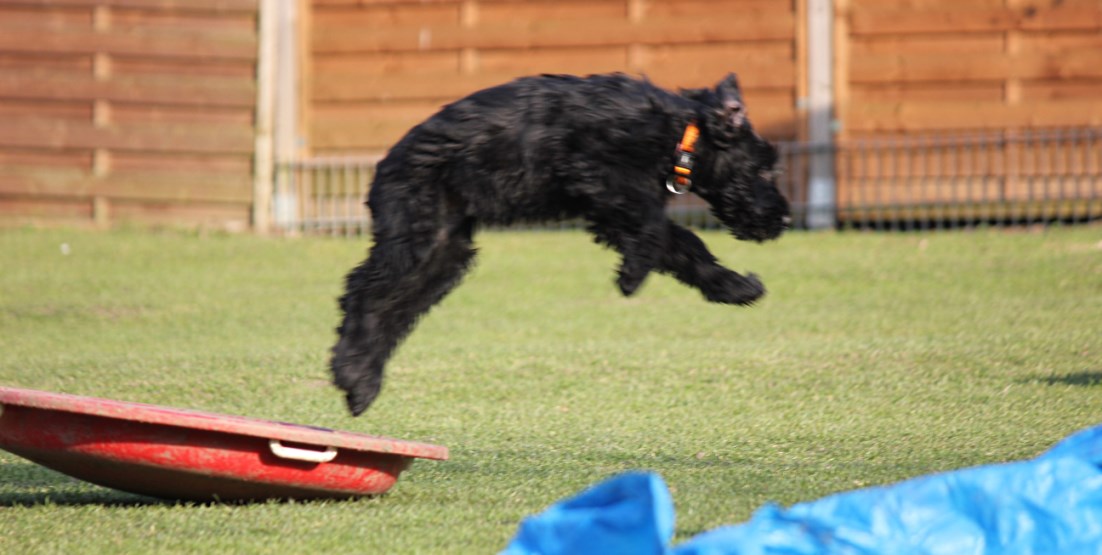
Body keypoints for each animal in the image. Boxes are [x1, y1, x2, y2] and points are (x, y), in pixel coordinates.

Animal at [330, 71, 789, 414]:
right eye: (763, 169)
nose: (784, 218)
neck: (678, 132)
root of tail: (383, 166)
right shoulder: (601, 177)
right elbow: (658, 227)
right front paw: (631, 275)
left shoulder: (612, 203)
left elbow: (683, 246)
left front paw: (735, 287)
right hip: (417, 240)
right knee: (364, 293)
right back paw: (352, 372)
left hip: (444, 255)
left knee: (392, 308)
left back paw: (362, 383)